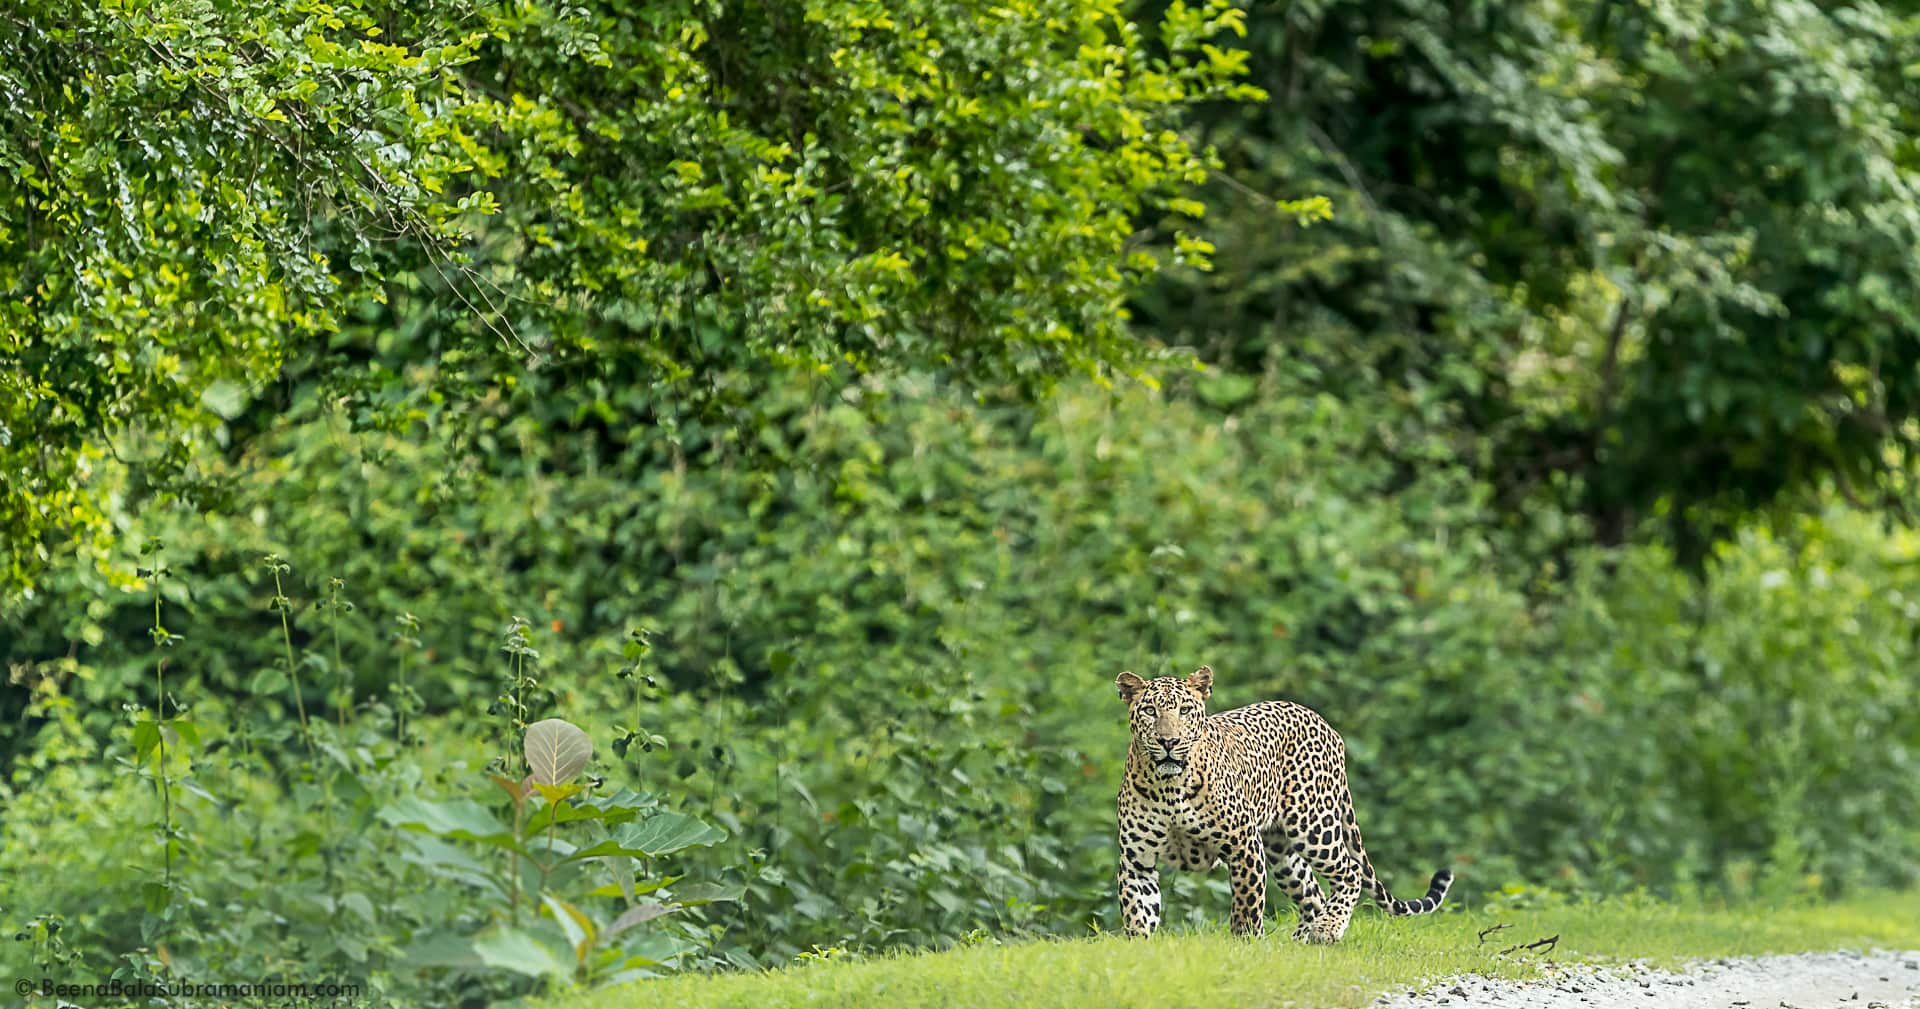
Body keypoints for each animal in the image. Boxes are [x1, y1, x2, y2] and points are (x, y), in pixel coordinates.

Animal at [1113, 667, 1451, 943]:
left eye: (1184, 710)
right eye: (1149, 710)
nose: (1168, 741)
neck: (1168, 788)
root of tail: (1326, 724)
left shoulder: (1244, 844)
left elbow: (1247, 904)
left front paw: (1246, 944)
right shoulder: (1137, 859)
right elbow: (1137, 909)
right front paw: (1138, 946)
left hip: (1313, 825)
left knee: (1350, 870)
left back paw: (1328, 928)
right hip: (1281, 849)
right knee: (1312, 892)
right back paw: (1302, 940)